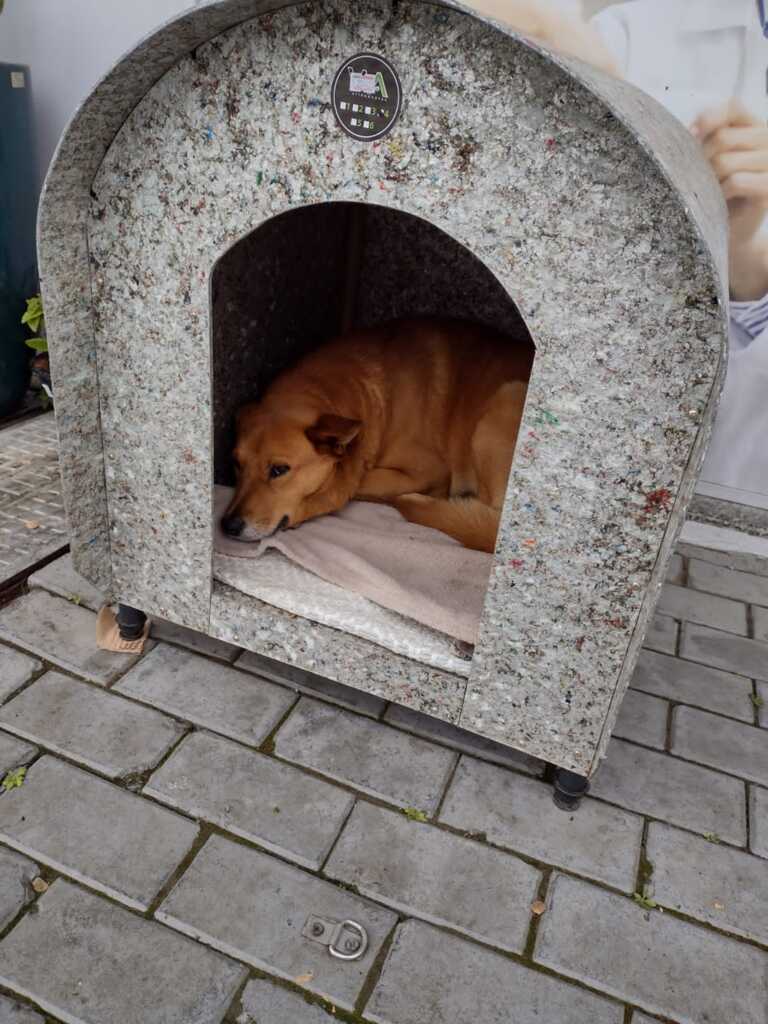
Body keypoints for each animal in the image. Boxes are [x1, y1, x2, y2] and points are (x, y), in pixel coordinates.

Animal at [222, 317, 536, 552]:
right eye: (236, 464)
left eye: (279, 470)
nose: (228, 526)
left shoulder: (429, 469)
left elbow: (351, 484)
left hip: (505, 400)